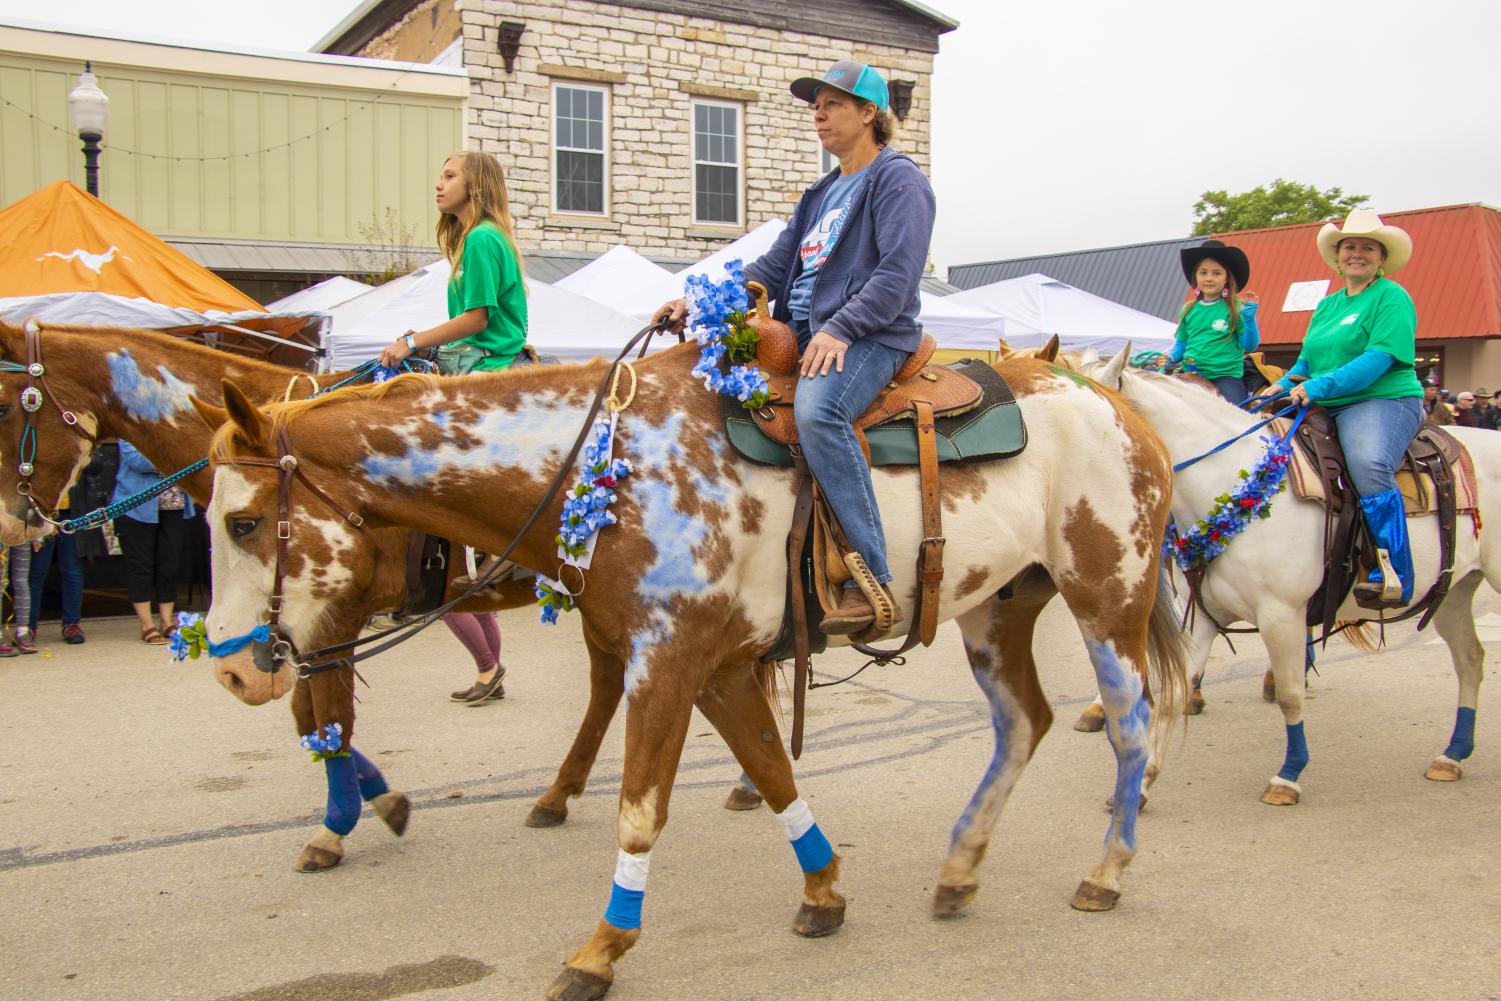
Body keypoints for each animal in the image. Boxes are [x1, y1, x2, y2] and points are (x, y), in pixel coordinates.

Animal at [0, 325, 726, 870]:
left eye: (8, 405)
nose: (15, 523)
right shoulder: (298, 628)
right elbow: (308, 717)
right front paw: (377, 798)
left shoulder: (334, 616)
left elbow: (331, 715)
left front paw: (338, 826)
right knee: (607, 683)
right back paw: (558, 792)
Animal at [199, 345, 1188, 1001]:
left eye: (243, 522)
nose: (234, 671)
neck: (610, 466)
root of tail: (1113, 400)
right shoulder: (716, 667)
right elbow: (771, 770)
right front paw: (823, 892)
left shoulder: (666, 661)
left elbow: (640, 807)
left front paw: (600, 947)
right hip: (999, 608)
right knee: (1023, 722)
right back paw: (958, 867)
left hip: (1107, 599)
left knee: (1132, 728)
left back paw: (1107, 870)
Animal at [1080, 352, 1488, 804]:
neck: (1231, 484)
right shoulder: (1200, 616)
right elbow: (1176, 688)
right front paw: (1141, 783)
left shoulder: (1281, 615)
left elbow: (1291, 697)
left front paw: (1288, 775)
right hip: (1453, 590)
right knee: (1470, 659)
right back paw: (1452, 755)